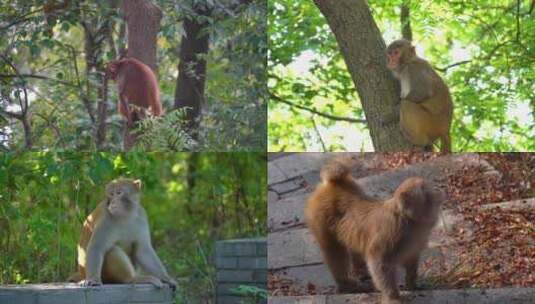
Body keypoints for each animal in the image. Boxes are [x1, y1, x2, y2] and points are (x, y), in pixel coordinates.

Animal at [304, 158, 446, 302]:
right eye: (426, 188)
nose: (438, 189)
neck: (409, 220)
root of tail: (332, 184)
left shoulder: (415, 242)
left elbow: (411, 259)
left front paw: (412, 284)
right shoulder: (392, 234)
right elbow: (379, 262)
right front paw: (392, 296)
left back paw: (361, 275)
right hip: (320, 217)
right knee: (334, 252)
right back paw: (347, 286)